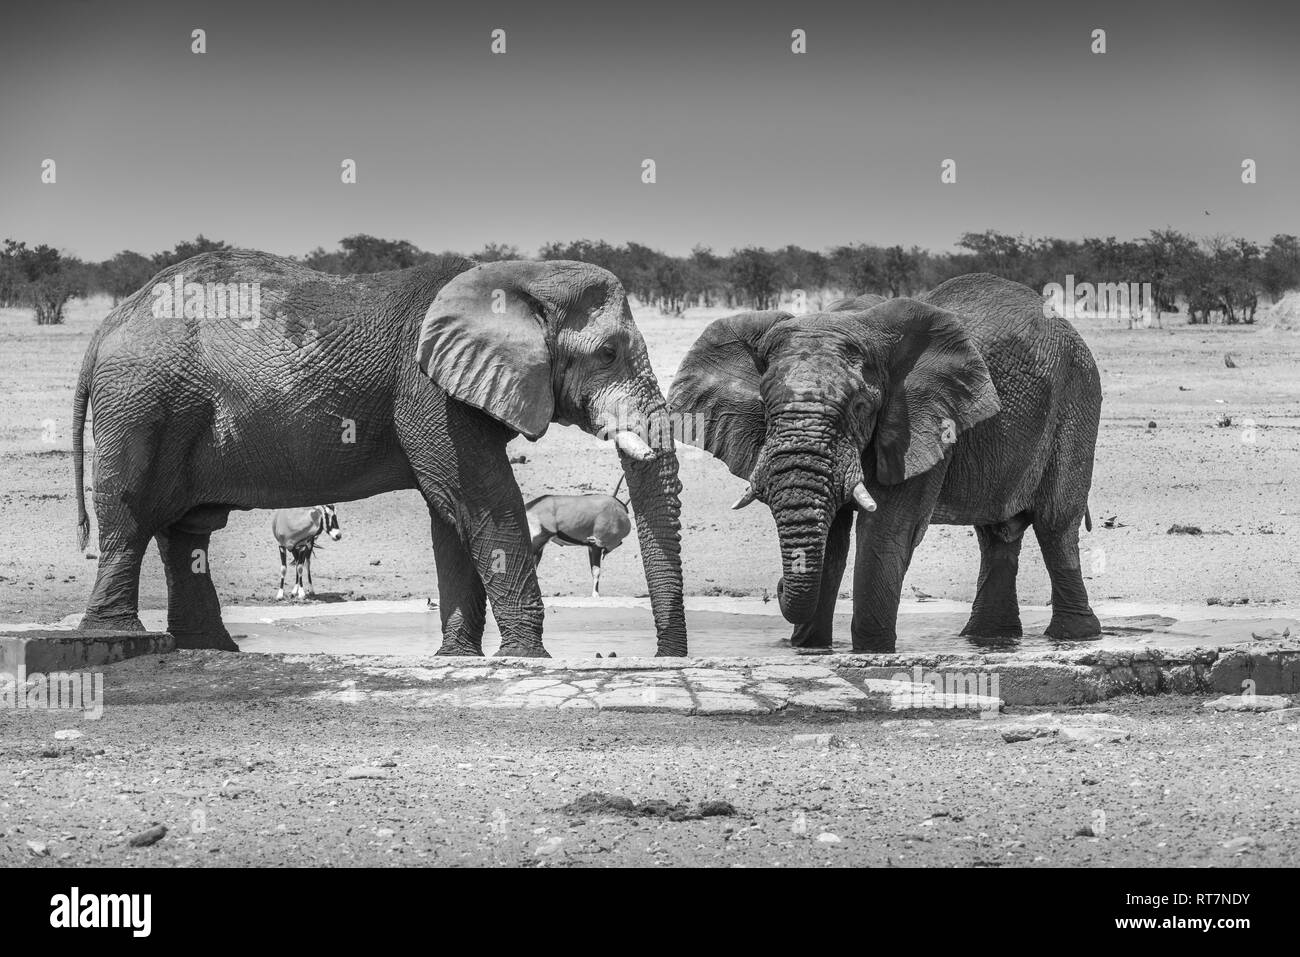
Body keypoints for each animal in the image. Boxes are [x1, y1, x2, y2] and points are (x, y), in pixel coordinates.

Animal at [71, 248, 686, 657]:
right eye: (608, 353)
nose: (664, 655)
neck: (518, 276)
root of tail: (107, 325)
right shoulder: (429, 391)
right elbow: (483, 503)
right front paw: (526, 658)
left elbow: (453, 516)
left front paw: (456, 658)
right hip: (141, 401)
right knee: (130, 515)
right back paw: (115, 638)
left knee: (188, 531)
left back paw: (211, 649)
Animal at [670, 273, 1097, 655]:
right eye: (764, 405)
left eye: (861, 407)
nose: (774, 587)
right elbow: (834, 537)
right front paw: (811, 650)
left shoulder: (918, 419)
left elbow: (886, 529)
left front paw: (872, 653)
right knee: (997, 534)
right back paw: (989, 640)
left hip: (1077, 395)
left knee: (1055, 524)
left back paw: (1073, 637)